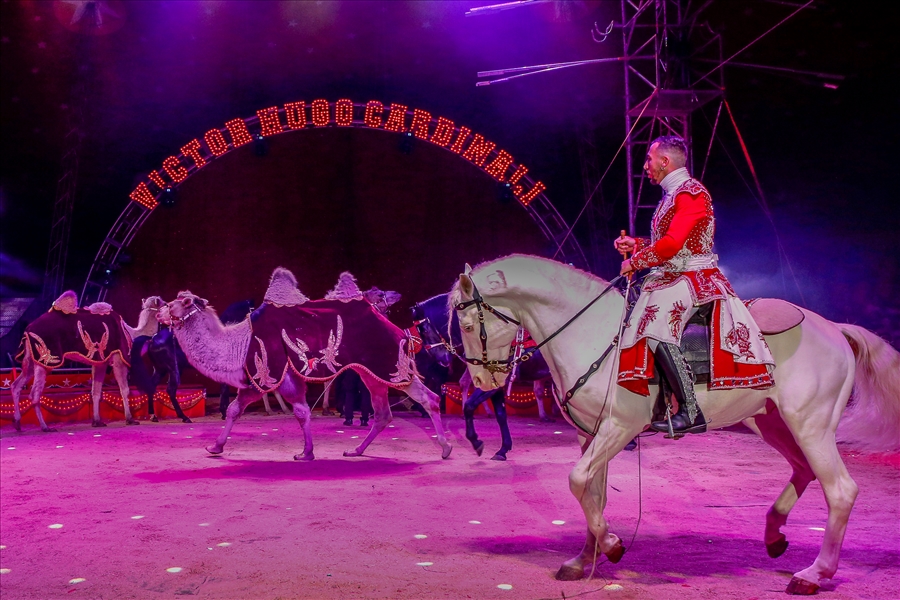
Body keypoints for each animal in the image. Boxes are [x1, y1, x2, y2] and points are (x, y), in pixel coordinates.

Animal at [10, 291, 139, 431]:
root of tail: (27, 330)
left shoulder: (100, 362)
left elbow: (96, 391)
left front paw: (97, 421)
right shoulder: (118, 357)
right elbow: (124, 389)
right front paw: (130, 419)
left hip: (31, 360)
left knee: (16, 385)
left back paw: (17, 423)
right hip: (45, 361)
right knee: (34, 394)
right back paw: (45, 427)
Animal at [412, 292, 557, 460]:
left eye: (424, 330)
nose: (441, 359)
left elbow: (469, 406)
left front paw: (476, 441)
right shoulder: (496, 385)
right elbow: (501, 415)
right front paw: (503, 449)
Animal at [450, 254, 900, 595]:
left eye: (469, 326)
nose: (481, 383)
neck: (594, 334)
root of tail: (834, 328)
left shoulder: (619, 428)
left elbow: (577, 481)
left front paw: (612, 546)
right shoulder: (590, 435)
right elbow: (593, 493)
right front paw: (584, 560)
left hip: (810, 425)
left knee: (840, 490)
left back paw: (814, 574)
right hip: (770, 421)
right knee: (804, 470)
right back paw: (774, 535)